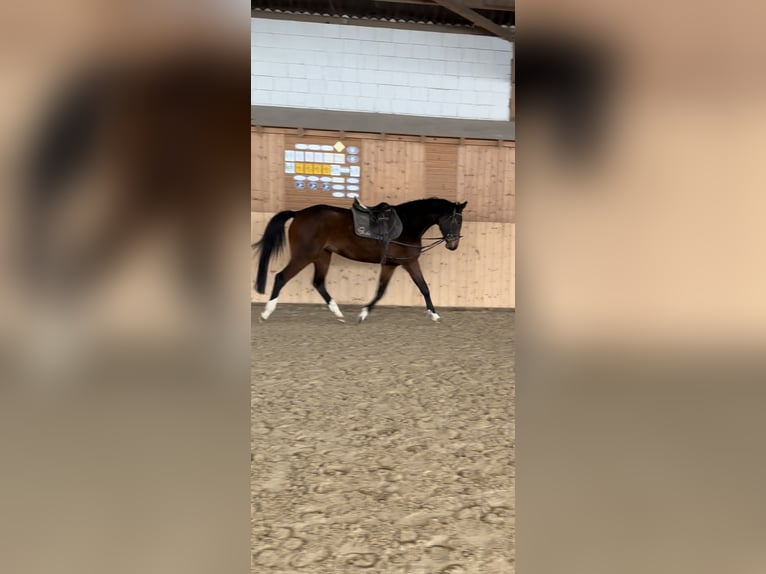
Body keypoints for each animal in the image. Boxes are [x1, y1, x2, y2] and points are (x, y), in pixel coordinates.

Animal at [254, 198, 468, 324]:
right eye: (456, 220)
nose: (453, 245)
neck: (407, 225)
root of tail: (298, 213)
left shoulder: (396, 264)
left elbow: (412, 288)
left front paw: (434, 314)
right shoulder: (404, 262)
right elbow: (412, 288)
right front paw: (363, 313)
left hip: (323, 256)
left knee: (318, 283)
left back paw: (338, 313)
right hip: (304, 256)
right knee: (281, 277)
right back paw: (266, 312)